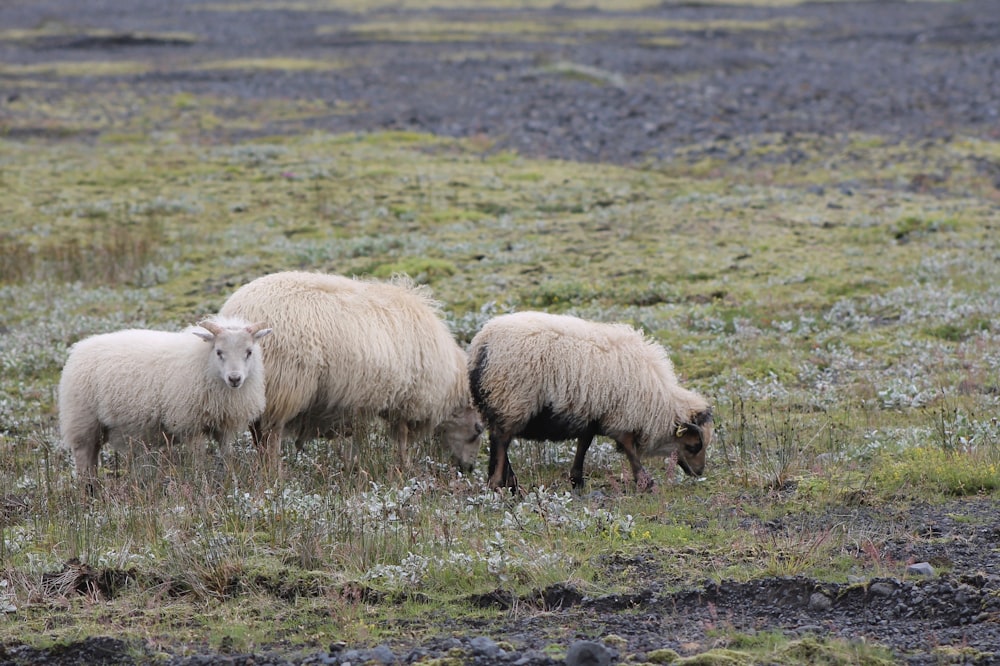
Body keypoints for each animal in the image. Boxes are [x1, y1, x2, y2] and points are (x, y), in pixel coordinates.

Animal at [58, 316, 270, 482]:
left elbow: (227, 455)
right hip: (83, 421)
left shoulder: (224, 424)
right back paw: (87, 493)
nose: (235, 378)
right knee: (83, 461)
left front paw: (230, 481)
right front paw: (201, 484)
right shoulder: (190, 425)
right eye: (219, 352)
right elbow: (199, 459)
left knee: (92, 461)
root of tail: (78, 349)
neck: (204, 363)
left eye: (249, 352)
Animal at [219, 268, 484, 466]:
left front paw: (354, 465)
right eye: (479, 429)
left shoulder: (360, 403)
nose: (468, 468)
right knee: (270, 437)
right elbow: (401, 440)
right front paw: (403, 468)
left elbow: (357, 438)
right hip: (284, 388)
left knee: (258, 435)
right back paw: (274, 473)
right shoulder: (406, 401)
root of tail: (238, 308)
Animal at [466, 310, 712, 488]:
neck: (656, 400)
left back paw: (511, 483)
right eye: (692, 446)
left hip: (499, 402)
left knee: (499, 440)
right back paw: (499, 485)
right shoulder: (619, 416)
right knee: (501, 441)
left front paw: (577, 480)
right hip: (512, 399)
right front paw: (646, 482)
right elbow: (628, 447)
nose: (699, 472)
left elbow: (584, 444)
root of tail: (482, 343)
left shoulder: (592, 413)